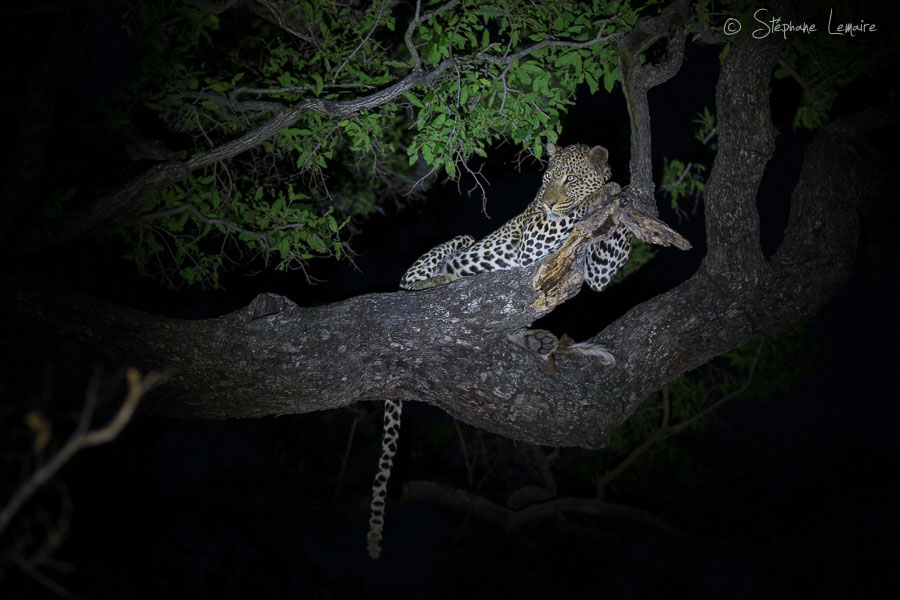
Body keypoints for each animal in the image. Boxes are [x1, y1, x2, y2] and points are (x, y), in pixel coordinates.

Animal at [366, 142, 631, 559]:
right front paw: (605, 193)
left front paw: (616, 197)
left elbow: (609, 249)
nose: (548, 201)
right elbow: (574, 212)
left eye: (570, 178)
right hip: (458, 242)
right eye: (547, 179)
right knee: (412, 284)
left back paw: (535, 341)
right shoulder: (535, 240)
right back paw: (440, 282)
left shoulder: (596, 270)